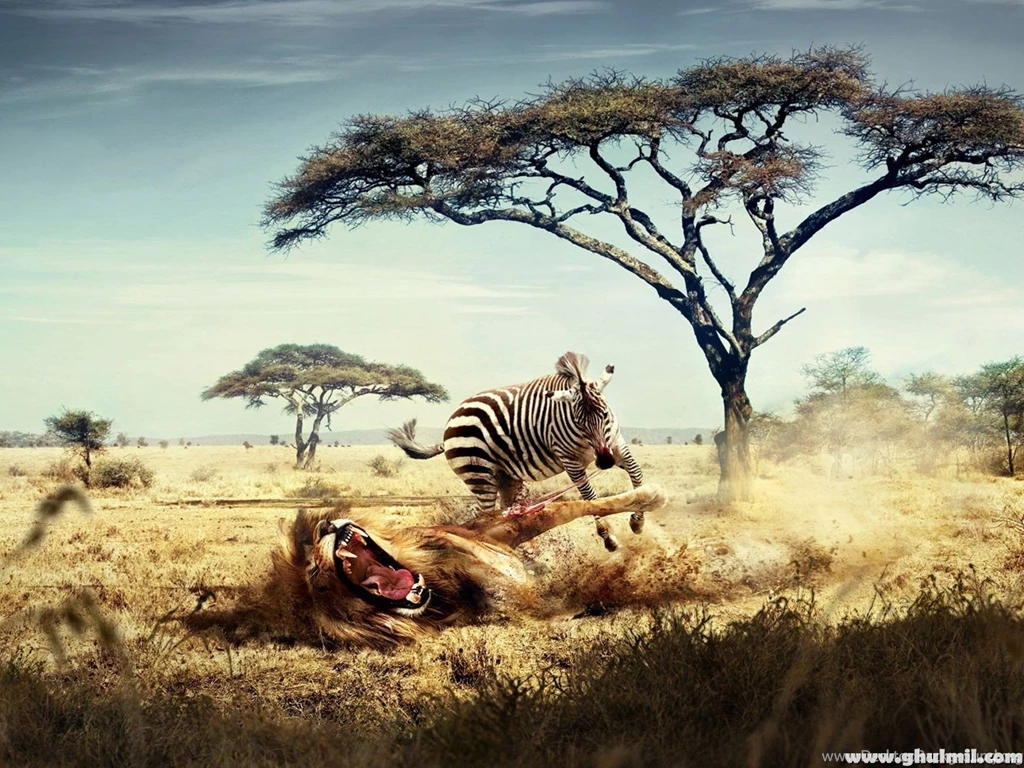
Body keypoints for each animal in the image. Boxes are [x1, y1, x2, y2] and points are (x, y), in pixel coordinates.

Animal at [270, 485, 667, 647]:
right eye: (314, 574)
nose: (326, 526)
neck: (438, 586)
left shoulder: (495, 529)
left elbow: (572, 506)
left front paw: (648, 498)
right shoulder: (503, 608)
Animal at [387, 351, 645, 551]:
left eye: (604, 414)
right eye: (579, 422)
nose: (604, 462)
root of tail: (452, 418)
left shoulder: (615, 444)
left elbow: (637, 474)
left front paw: (638, 521)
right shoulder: (570, 460)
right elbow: (591, 498)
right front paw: (609, 538)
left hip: (505, 477)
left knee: (502, 515)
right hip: (479, 474)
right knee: (484, 516)